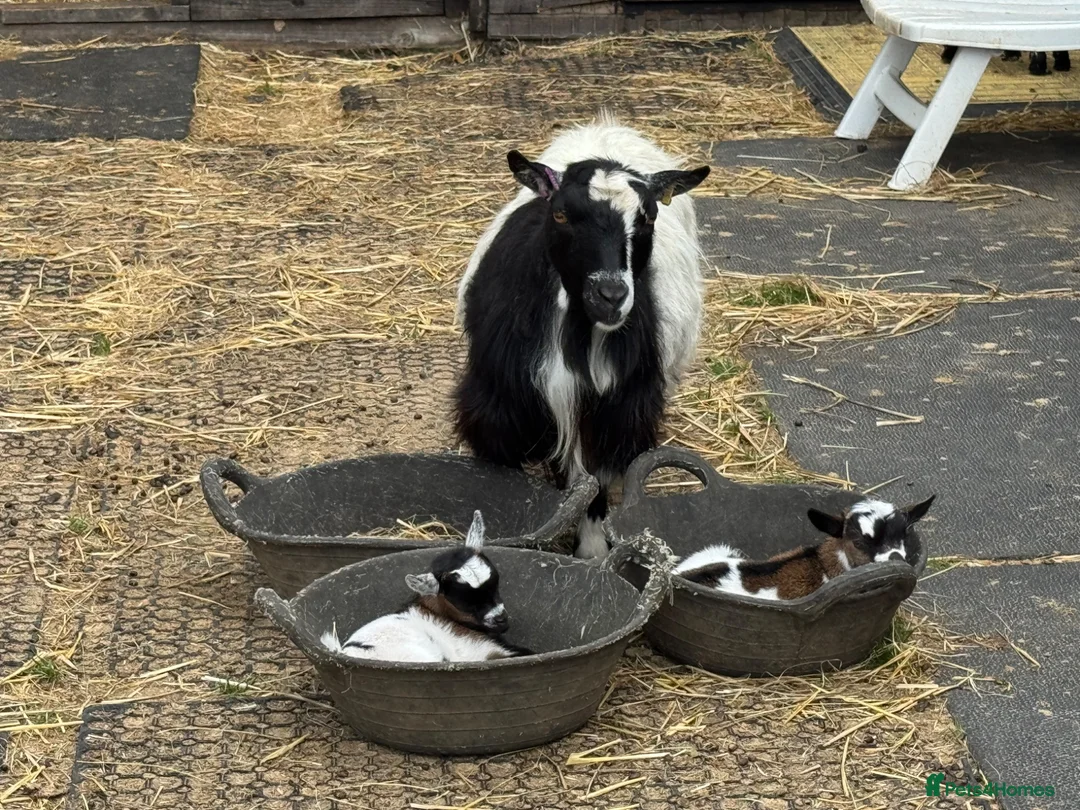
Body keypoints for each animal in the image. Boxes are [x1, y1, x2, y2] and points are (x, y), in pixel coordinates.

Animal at [454, 114, 710, 559]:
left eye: (648, 217)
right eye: (560, 215)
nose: (610, 296)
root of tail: (607, 129)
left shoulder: (617, 410)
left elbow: (594, 483)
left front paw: (591, 550)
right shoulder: (499, 407)